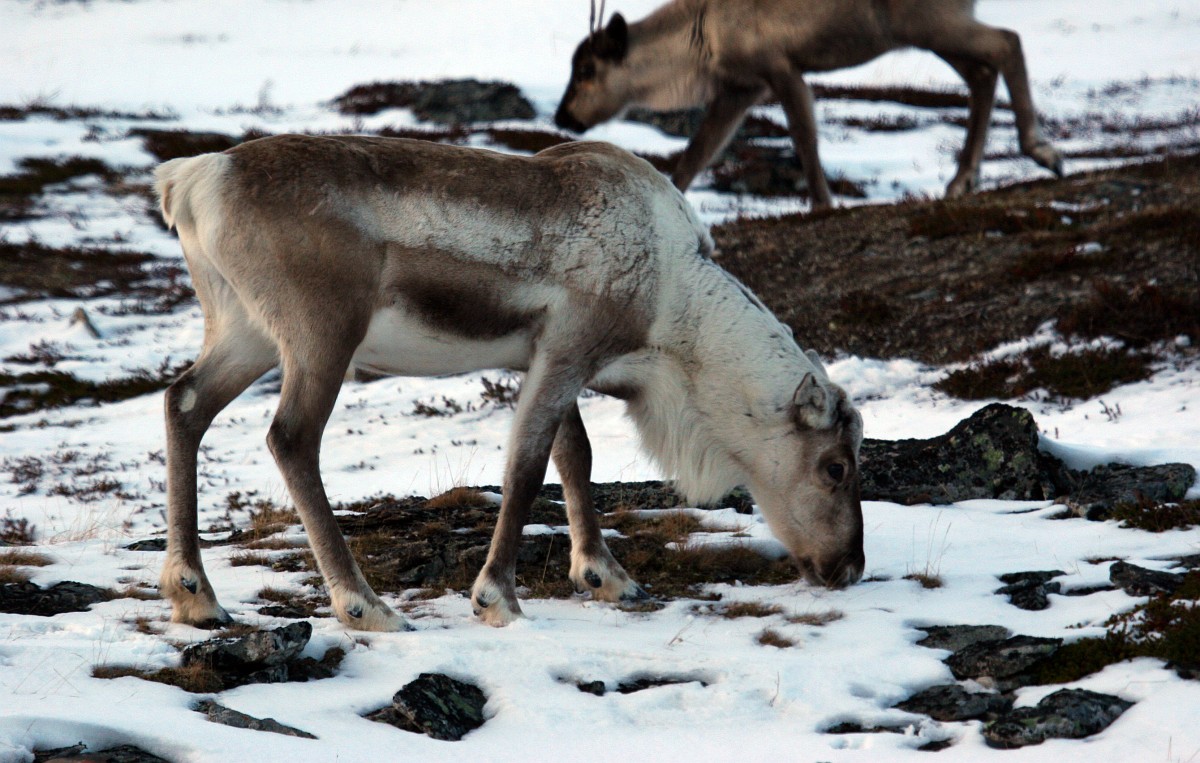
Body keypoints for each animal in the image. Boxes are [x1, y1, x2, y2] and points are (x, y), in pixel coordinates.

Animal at [153, 133, 864, 632]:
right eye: (834, 466)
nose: (850, 568)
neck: (674, 307)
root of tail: (193, 180)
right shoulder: (569, 349)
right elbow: (526, 466)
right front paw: (497, 598)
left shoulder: (545, 358)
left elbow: (575, 456)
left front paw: (606, 576)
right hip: (320, 335)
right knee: (292, 438)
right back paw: (363, 605)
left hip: (243, 330)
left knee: (184, 402)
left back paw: (195, 596)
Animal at [554, 0, 1064, 209]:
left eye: (586, 70)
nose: (563, 116)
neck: (699, 38)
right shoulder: (740, 86)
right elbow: (698, 152)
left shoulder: (780, 68)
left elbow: (804, 134)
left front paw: (822, 202)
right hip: (924, 31)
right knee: (982, 73)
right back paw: (962, 180)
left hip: (926, 22)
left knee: (1006, 44)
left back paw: (1042, 151)